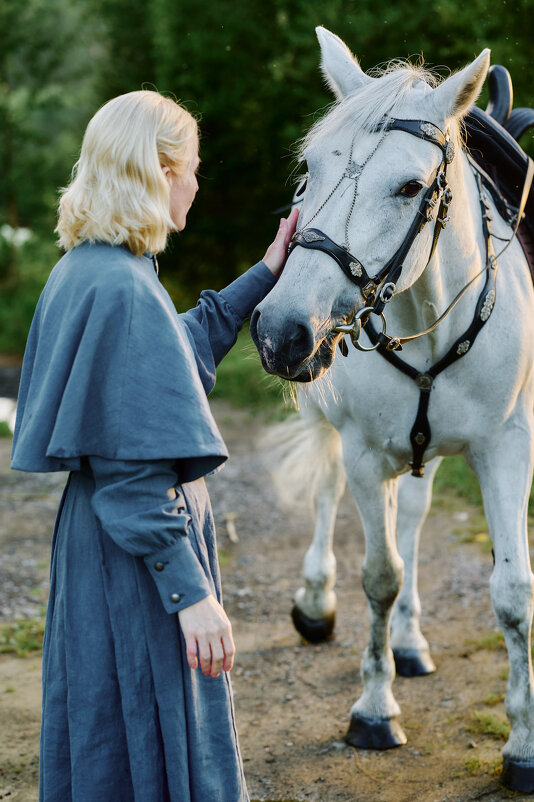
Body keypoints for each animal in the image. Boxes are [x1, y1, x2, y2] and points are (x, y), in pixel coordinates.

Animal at [251, 26, 534, 792]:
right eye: (310, 169)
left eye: (410, 187)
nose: (281, 330)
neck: (429, 316)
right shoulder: (362, 451)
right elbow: (379, 575)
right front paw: (374, 712)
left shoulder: (505, 448)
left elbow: (513, 593)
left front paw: (523, 743)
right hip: (326, 420)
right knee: (324, 495)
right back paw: (317, 602)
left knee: (411, 514)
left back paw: (409, 640)